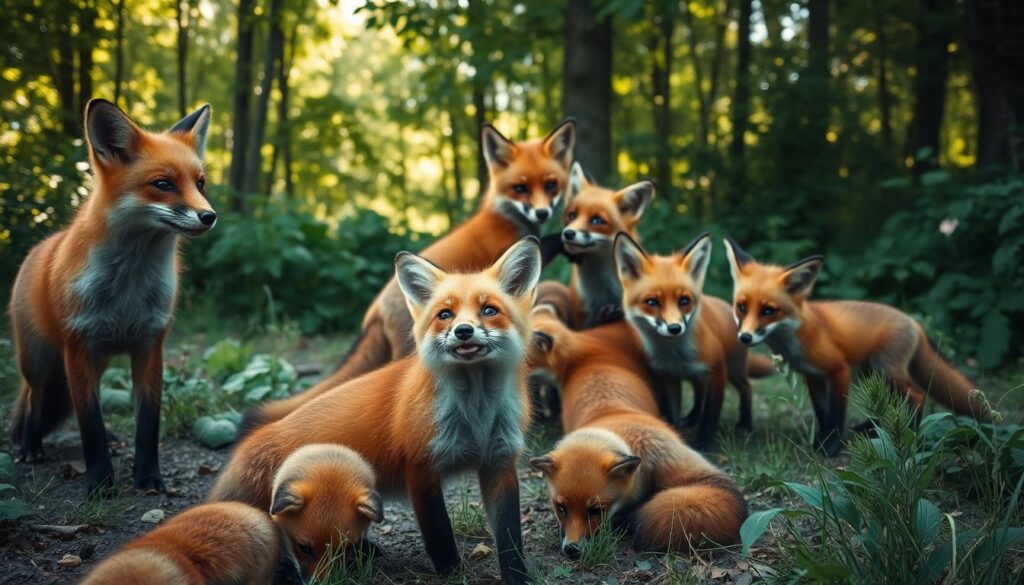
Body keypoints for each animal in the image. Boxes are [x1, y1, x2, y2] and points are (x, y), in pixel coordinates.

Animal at [9, 99, 216, 495]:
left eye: (200, 184)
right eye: (163, 184)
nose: (209, 216)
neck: (127, 291)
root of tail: (41, 246)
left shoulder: (150, 345)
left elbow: (146, 424)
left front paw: (148, 477)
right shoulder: (77, 346)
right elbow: (89, 423)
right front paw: (100, 482)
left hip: (99, 361)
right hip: (39, 360)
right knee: (32, 397)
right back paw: (29, 446)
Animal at [210, 237, 543, 584]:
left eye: (489, 310)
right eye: (445, 314)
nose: (463, 330)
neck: (475, 416)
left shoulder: (499, 461)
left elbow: (510, 538)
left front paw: (518, 577)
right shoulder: (420, 466)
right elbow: (439, 532)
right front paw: (452, 574)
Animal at [239, 120, 575, 434]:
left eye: (551, 185)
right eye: (520, 188)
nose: (543, 213)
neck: (503, 217)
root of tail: (374, 310)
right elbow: (544, 245)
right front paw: (565, 238)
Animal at [614, 232, 771, 449]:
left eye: (684, 301)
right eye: (652, 302)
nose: (675, 328)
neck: (675, 356)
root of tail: (723, 303)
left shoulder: (717, 370)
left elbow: (710, 417)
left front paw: (704, 444)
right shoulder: (669, 377)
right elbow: (672, 414)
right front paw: (676, 434)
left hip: (734, 370)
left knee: (746, 388)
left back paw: (745, 424)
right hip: (698, 376)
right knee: (699, 393)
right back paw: (691, 418)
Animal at [722, 237, 992, 456]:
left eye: (768, 311)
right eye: (741, 307)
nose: (745, 337)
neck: (794, 337)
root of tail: (914, 321)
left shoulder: (839, 369)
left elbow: (837, 413)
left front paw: (831, 447)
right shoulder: (813, 376)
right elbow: (823, 414)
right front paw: (822, 439)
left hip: (883, 369)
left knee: (916, 395)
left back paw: (909, 433)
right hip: (871, 371)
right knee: (892, 401)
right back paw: (873, 427)